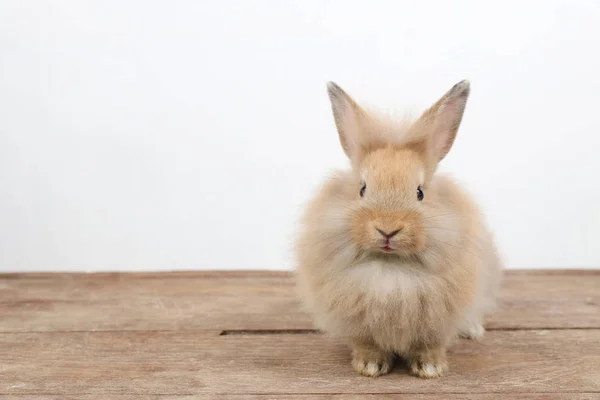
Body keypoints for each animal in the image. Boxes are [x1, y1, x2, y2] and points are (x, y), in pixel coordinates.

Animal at [294, 80, 502, 378]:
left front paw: (430, 369)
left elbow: (430, 346)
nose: (388, 230)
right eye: (362, 189)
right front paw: (369, 367)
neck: (390, 267)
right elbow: (367, 345)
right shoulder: (360, 328)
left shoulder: (436, 325)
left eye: (419, 193)